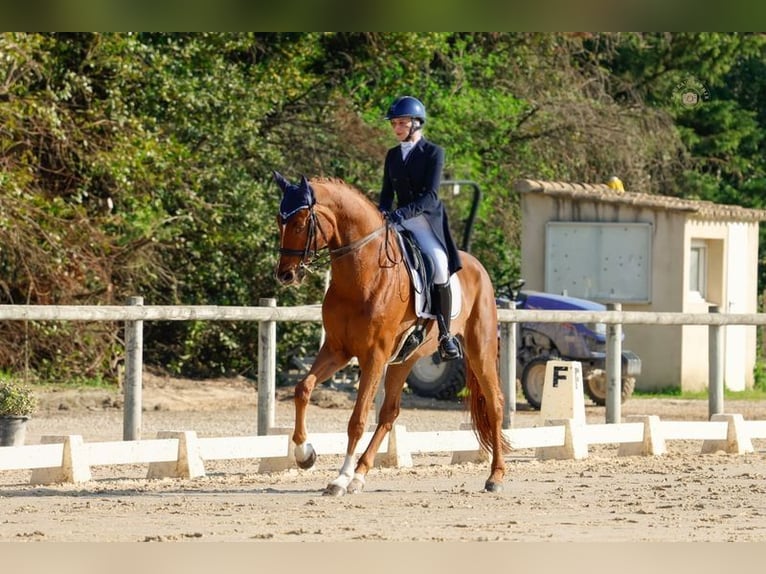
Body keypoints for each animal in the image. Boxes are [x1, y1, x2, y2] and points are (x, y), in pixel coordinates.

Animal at [273, 171, 510, 495]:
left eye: (299, 223)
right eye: (279, 220)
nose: (285, 275)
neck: (361, 275)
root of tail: (476, 265)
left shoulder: (373, 356)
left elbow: (357, 420)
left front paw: (339, 479)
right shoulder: (337, 350)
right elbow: (303, 389)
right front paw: (304, 454)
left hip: (479, 349)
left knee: (495, 403)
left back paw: (495, 477)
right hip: (404, 360)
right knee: (389, 414)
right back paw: (360, 474)